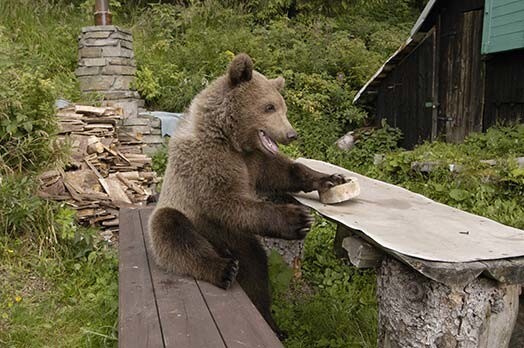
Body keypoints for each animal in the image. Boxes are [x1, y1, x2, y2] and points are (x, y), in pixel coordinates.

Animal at [148, 52, 344, 338]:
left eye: (283, 108)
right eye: (269, 107)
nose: (291, 134)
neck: (231, 139)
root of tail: (219, 246)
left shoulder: (256, 160)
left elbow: (284, 171)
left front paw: (331, 179)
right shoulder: (207, 162)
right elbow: (225, 200)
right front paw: (297, 219)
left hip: (235, 238)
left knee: (256, 266)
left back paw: (271, 320)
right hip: (187, 218)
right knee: (172, 231)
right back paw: (223, 269)